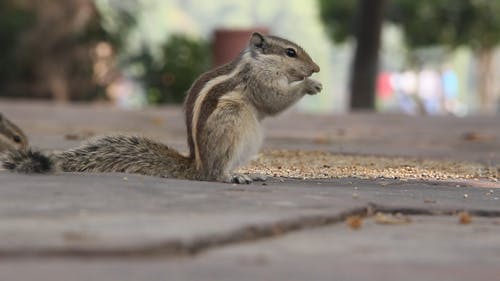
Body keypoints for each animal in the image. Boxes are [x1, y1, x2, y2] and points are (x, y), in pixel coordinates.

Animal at [1, 32, 322, 183]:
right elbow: (272, 100)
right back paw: (232, 175)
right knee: (215, 173)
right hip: (231, 120)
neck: (256, 62)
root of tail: (196, 166)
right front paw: (309, 85)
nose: (316, 68)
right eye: (290, 52)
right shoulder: (258, 81)